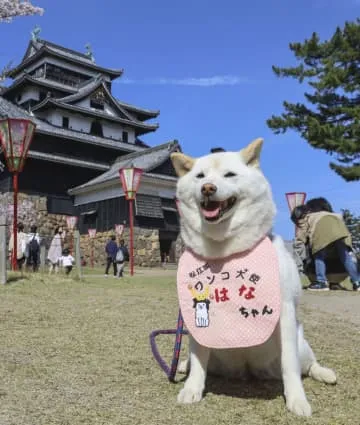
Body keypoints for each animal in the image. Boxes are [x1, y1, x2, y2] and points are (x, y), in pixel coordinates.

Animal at [170, 138, 336, 414]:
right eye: (200, 176)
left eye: (229, 175)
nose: (207, 188)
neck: (227, 253)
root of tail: (247, 370)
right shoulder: (197, 320)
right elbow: (198, 358)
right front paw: (192, 388)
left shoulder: (285, 311)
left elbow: (290, 366)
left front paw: (297, 400)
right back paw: (183, 364)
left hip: (300, 345)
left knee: (307, 365)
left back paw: (324, 373)